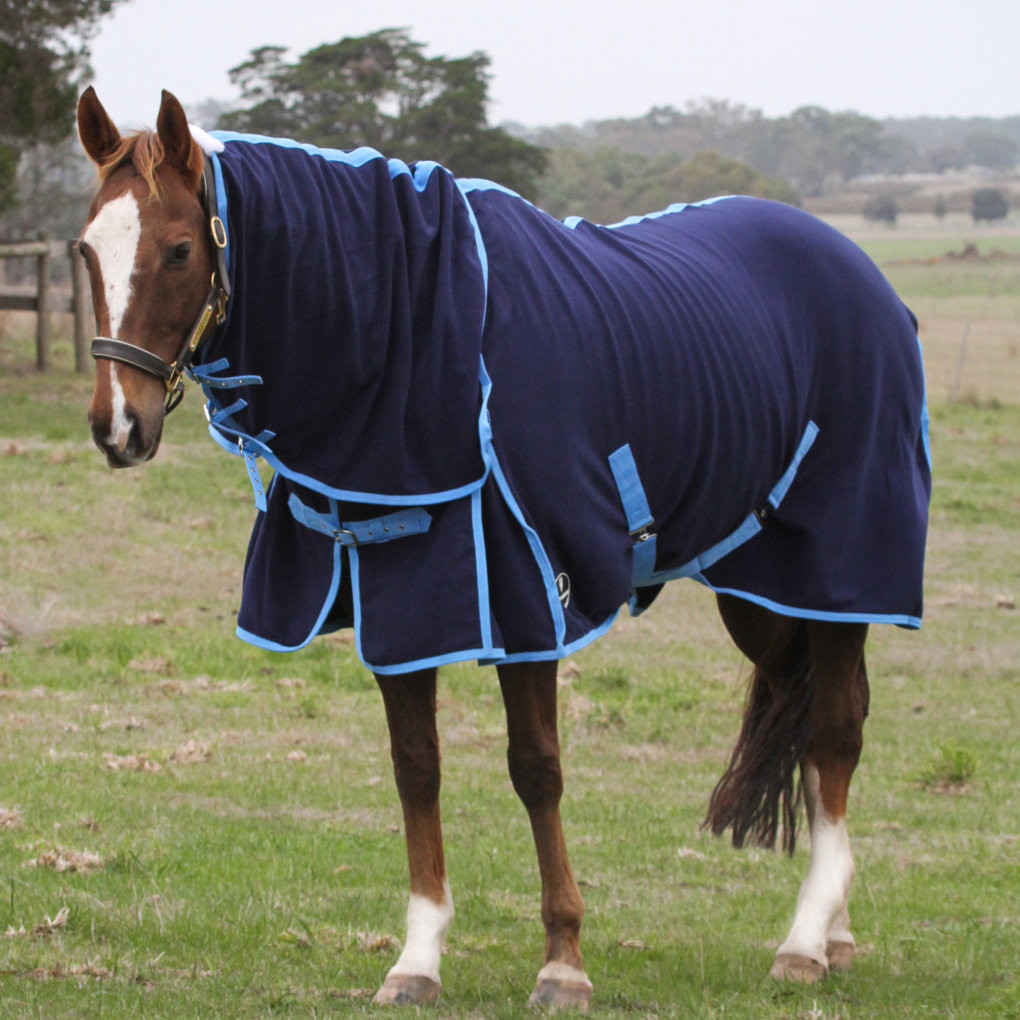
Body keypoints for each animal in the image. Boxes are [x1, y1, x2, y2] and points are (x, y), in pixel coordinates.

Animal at [76, 87, 930, 1009]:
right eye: (85, 248)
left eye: (179, 249)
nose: (118, 428)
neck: (420, 345)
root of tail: (864, 275)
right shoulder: (399, 601)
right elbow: (417, 769)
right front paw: (417, 960)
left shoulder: (526, 603)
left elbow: (536, 769)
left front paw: (564, 961)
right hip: (759, 588)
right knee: (816, 724)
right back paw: (835, 932)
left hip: (837, 573)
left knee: (834, 734)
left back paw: (805, 941)